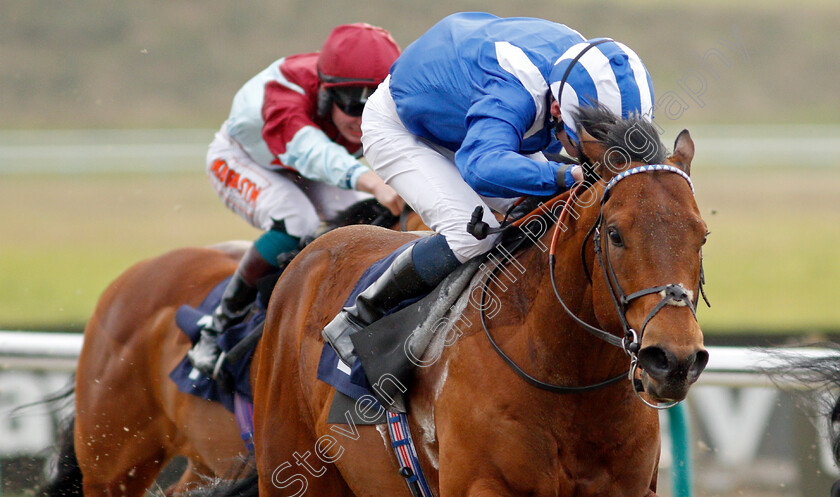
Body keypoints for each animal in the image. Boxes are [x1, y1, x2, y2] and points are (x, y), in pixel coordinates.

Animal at [248, 112, 708, 496]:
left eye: (701, 235)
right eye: (614, 234)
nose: (674, 359)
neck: (568, 380)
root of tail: (312, 253)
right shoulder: (483, 485)